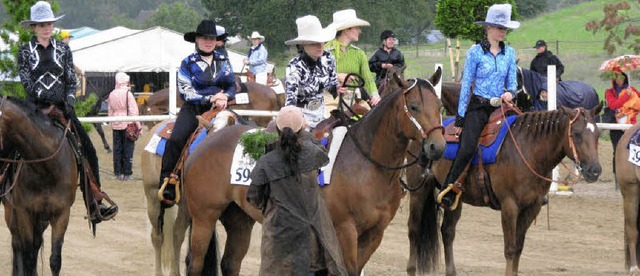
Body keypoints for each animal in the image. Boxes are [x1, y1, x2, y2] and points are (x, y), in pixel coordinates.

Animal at [0, 96, 77, 274]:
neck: (46, 168)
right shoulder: (24, 212)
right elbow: (27, 256)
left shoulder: (61, 213)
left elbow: (55, 259)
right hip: (12, 213)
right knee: (18, 245)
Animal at [180, 68, 448, 274]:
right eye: (413, 106)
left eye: (440, 105)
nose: (437, 146)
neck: (366, 165)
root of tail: (207, 139)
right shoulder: (344, 231)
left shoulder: (375, 233)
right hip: (204, 217)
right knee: (195, 263)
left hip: (238, 218)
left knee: (230, 263)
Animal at [408, 104, 604, 276]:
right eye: (576, 134)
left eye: (597, 134)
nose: (594, 171)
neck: (528, 151)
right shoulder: (510, 206)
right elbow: (510, 249)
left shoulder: (532, 208)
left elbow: (518, 248)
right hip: (419, 191)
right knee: (414, 229)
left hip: (455, 199)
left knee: (447, 232)